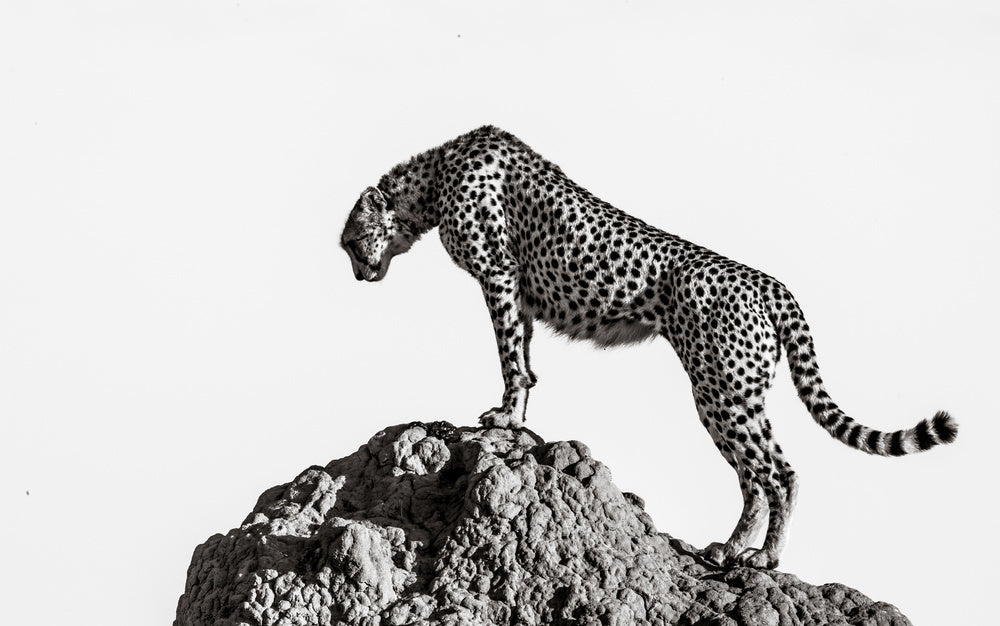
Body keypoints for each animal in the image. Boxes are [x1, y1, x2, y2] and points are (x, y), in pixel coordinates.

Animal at [340, 125, 958, 569]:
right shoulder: (522, 295)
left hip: (721, 390)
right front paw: (518, 417)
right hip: (734, 395)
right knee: (754, 476)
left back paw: (765, 557)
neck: (433, 176)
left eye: (349, 240)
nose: (358, 275)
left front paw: (503, 418)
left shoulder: (499, 276)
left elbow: (510, 357)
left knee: (777, 471)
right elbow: (526, 361)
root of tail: (772, 285)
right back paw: (731, 548)